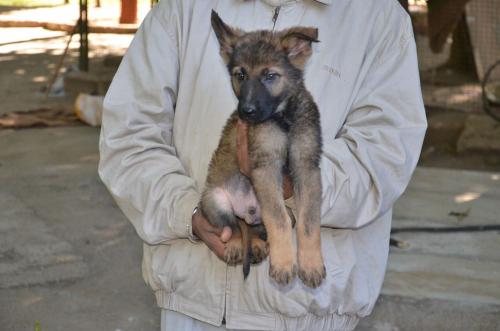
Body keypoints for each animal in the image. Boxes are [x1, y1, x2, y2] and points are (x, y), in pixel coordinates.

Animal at [201, 11, 326, 290]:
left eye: (270, 76)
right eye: (240, 75)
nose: (246, 112)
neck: (284, 119)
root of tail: (246, 213)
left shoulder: (307, 166)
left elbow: (309, 221)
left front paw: (310, 263)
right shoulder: (265, 167)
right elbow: (277, 219)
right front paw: (284, 263)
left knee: (259, 227)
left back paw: (258, 243)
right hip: (216, 200)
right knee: (235, 228)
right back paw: (239, 245)